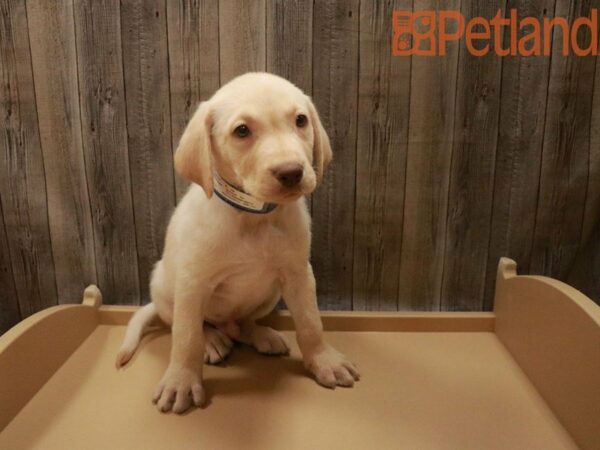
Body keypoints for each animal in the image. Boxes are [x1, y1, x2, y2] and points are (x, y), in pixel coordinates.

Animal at [118, 72, 360, 414]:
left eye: (300, 120)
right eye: (242, 130)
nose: (291, 172)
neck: (253, 217)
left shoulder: (298, 273)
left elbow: (311, 321)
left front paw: (324, 360)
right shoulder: (193, 283)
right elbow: (186, 337)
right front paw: (181, 381)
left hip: (270, 295)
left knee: (242, 324)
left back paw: (259, 334)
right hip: (165, 288)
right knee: (191, 325)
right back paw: (213, 340)